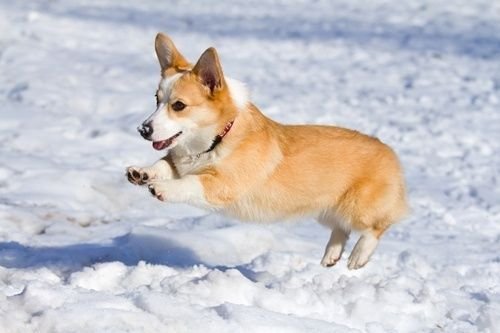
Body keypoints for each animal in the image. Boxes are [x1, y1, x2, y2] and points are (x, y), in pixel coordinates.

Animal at [127, 32, 408, 268]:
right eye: (156, 100)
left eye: (179, 105)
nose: (143, 129)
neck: (217, 138)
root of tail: (389, 151)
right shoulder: (180, 162)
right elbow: (164, 164)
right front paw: (141, 173)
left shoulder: (223, 184)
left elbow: (189, 183)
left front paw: (162, 189)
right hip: (326, 210)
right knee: (341, 229)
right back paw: (331, 255)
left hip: (358, 208)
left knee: (377, 226)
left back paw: (358, 257)